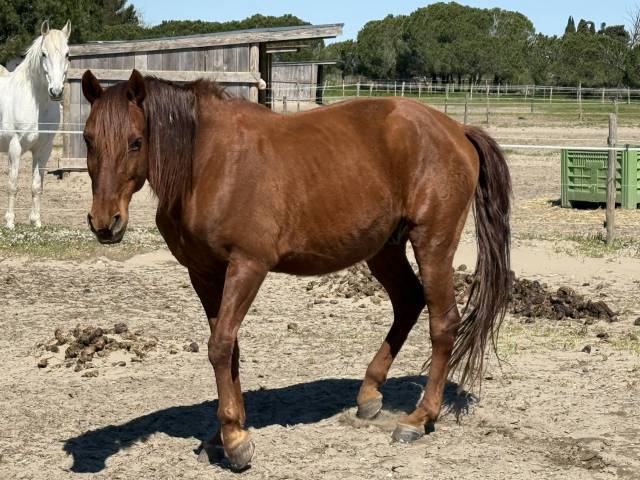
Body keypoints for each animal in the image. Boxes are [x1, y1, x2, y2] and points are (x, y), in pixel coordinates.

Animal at [0, 20, 71, 229]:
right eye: (43, 54)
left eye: (67, 54)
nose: (56, 92)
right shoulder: (15, 147)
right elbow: (12, 184)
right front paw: (10, 222)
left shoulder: (44, 149)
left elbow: (37, 186)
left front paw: (36, 221)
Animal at [81, 68, 512, 471]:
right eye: (88, 140)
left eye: (136, 141)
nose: (104, 223)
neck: (208, 164)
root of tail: (456, 130)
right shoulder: (204, 273)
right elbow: (229, 348)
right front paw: (225, 433)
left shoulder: (248, 266)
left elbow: (220, 346)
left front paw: (234, 439)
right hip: (384, 248)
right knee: (408, 302)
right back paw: (369, 394)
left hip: (432, 245)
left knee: (444, 322)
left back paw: (419, 418)